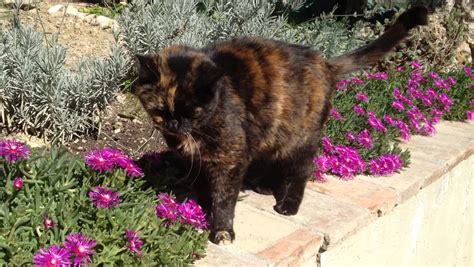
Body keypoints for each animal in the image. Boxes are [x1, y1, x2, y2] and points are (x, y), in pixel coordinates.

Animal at [131, 6, 428, 245]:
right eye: (160, 109)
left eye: (191, 111)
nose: (174, 123)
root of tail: (324, 61)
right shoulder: (197, 161)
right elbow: (204, 189)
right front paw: (202, 210)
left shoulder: (230, 161)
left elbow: (225, 198)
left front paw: (222, 230)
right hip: (270, 131)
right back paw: (264, 186)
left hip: (301, 137)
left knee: (301, 170)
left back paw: (288, 204)